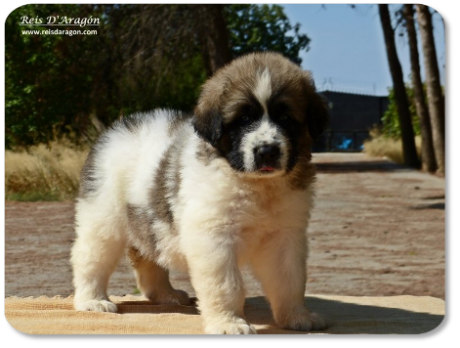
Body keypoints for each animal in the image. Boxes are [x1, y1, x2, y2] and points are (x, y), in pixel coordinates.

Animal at [70, 52, 328, 334]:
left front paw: (296, 316)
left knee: (150, 258)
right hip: (104, 219)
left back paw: (166, 295)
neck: (253, 183)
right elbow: (226, 284)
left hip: (150, 223)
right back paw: (92, 300)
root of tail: (115, 131)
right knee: (90, 257)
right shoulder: (213, 237)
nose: (267, 151)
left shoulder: (285, 234)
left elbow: (290, 279)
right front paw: (229, 322)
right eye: (243, 119)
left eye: (286, 119)